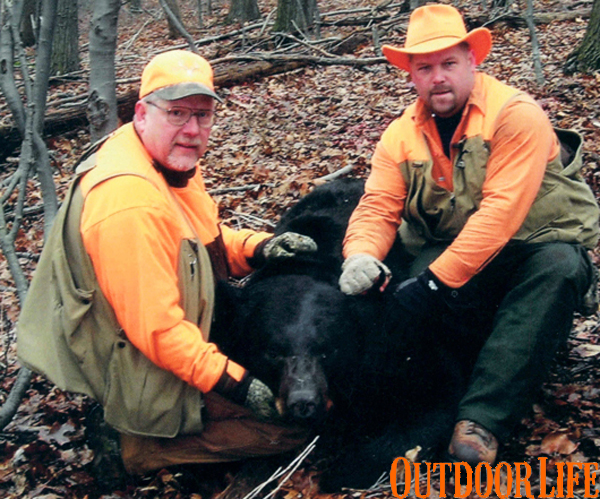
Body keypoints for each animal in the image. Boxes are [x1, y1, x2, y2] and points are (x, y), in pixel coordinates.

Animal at [213, 179, 466, 492]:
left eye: (327, 350)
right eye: (272, 351)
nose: (304, 402)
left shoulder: (392, 338)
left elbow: (436, 394)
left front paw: (337, 472)